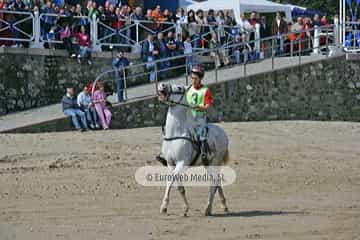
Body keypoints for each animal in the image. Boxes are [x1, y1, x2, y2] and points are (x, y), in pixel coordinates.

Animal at [158, 83, 231, 218]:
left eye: (179, 88)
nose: (162, 85)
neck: (175, 133)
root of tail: (223, 132)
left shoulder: (182, 163)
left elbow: (172, 180)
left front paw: (172, 207)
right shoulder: (171, 164)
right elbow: (177, 185)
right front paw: (174, 208)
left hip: (215, 162)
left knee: (214, 183)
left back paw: (208, 208)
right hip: (208, 163)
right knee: (217, 181)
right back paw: (223, 205)